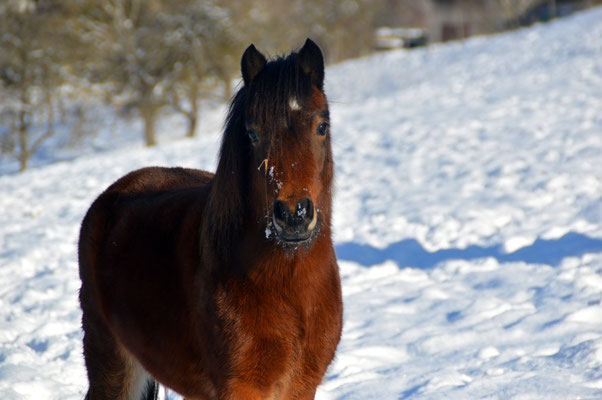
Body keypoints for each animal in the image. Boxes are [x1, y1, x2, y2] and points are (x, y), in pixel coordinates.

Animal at [78, 38, 342, 400]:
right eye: (252, 133)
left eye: (322, 126)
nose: (294, 216)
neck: (288, 289)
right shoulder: (241, 387)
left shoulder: (302, 386)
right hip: (112, 366)